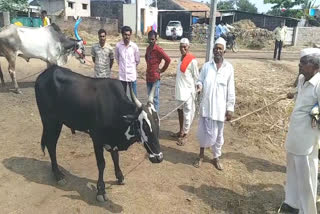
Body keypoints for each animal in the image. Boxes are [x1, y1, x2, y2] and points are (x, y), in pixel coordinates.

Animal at [35, 65, 162, 201]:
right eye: (144, 125)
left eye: (157, 124)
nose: (158, 157)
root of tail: (46, 73)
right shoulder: (96, 139)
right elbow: (101, 164)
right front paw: (100, 190)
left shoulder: (112, 140)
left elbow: (115, 157)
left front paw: (120, 176)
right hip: (51, 121)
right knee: (51, 145)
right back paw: (58, 175)